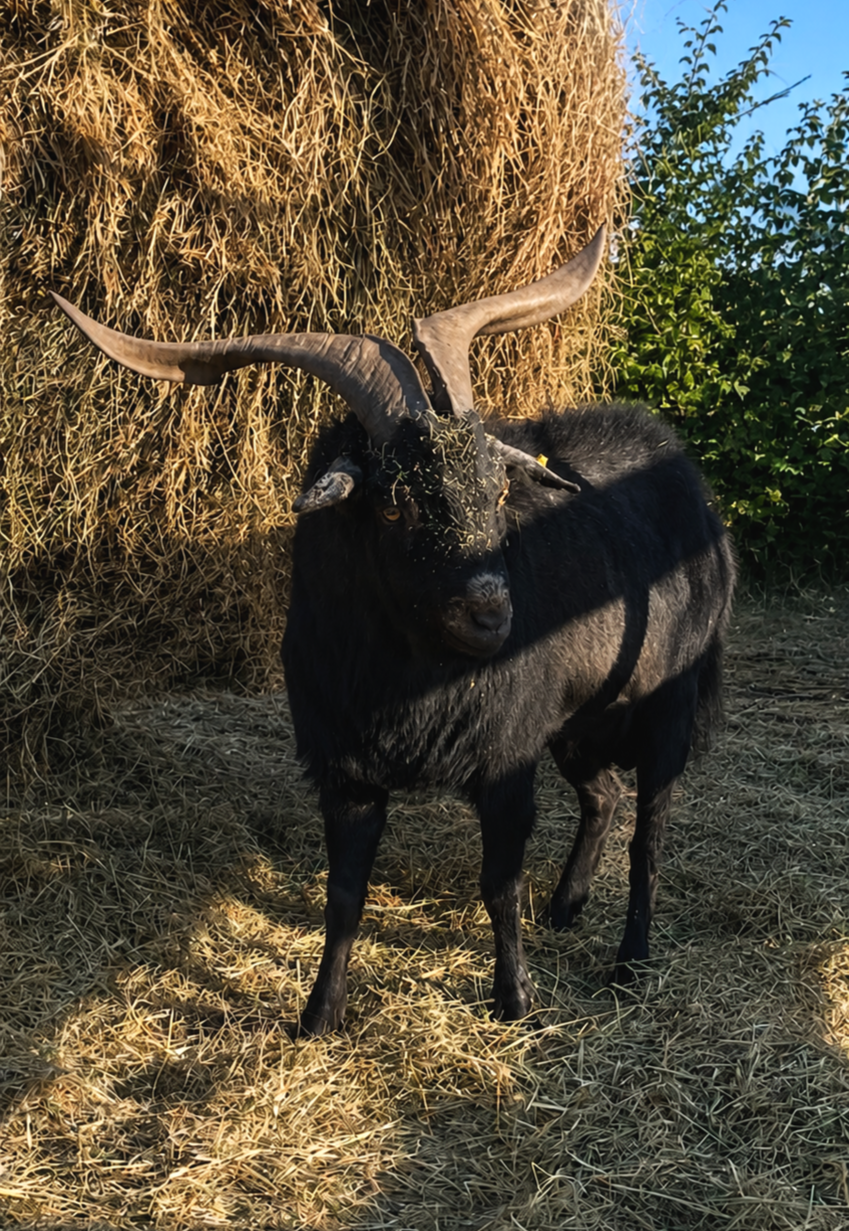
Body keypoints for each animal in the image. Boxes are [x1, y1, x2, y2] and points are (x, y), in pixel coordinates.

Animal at [52, 226, 735, 1035]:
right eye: (390, 504)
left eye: (497, 491)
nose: (491, 616)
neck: (411, 684)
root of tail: (689, 480)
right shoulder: (346, 770)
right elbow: (344, 895)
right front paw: (318, 1016)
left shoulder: (505, 757)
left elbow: (499, 884)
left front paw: (514, 1002)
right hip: (579, 720)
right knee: (605, 797)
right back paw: (566, 908)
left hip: (669, 705)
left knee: (650, 831)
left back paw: (630, 961)